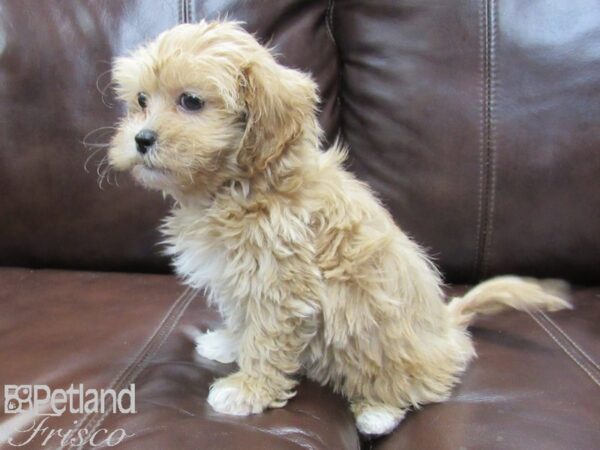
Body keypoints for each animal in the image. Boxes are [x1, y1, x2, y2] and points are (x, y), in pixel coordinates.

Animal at [108, 22, 572, 436]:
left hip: (378, 335)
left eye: (190, 101)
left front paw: (248, 389)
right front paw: (229, 343)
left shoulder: (281, 285)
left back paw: (378, 412)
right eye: (142, 100)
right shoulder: (238, 278)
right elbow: (243, 319)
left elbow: (266, 340)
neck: (241, 186)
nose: (141, 139)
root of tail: (447, 327)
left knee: (416, 384)